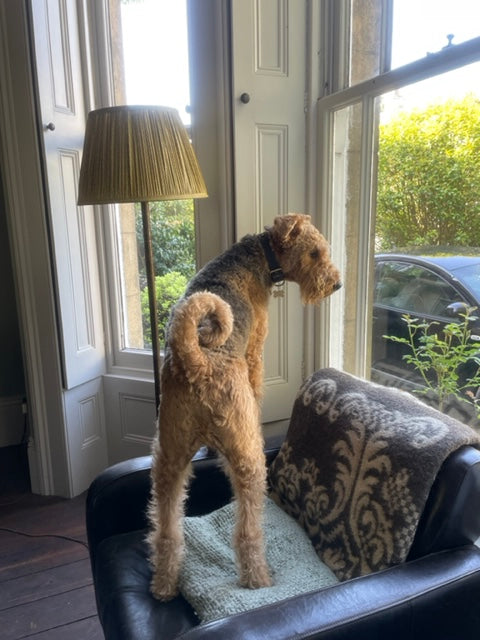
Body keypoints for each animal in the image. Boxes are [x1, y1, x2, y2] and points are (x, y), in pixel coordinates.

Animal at [148, 214, 340, 600]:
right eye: (315, 252)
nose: (336, 284)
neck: (259, 255)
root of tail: (198, 362)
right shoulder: (255, 350)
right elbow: (257, 384)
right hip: (250, 459)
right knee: (248, 530)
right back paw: (259, 579)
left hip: (169, 457)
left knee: (167, 529)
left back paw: (163, 585)